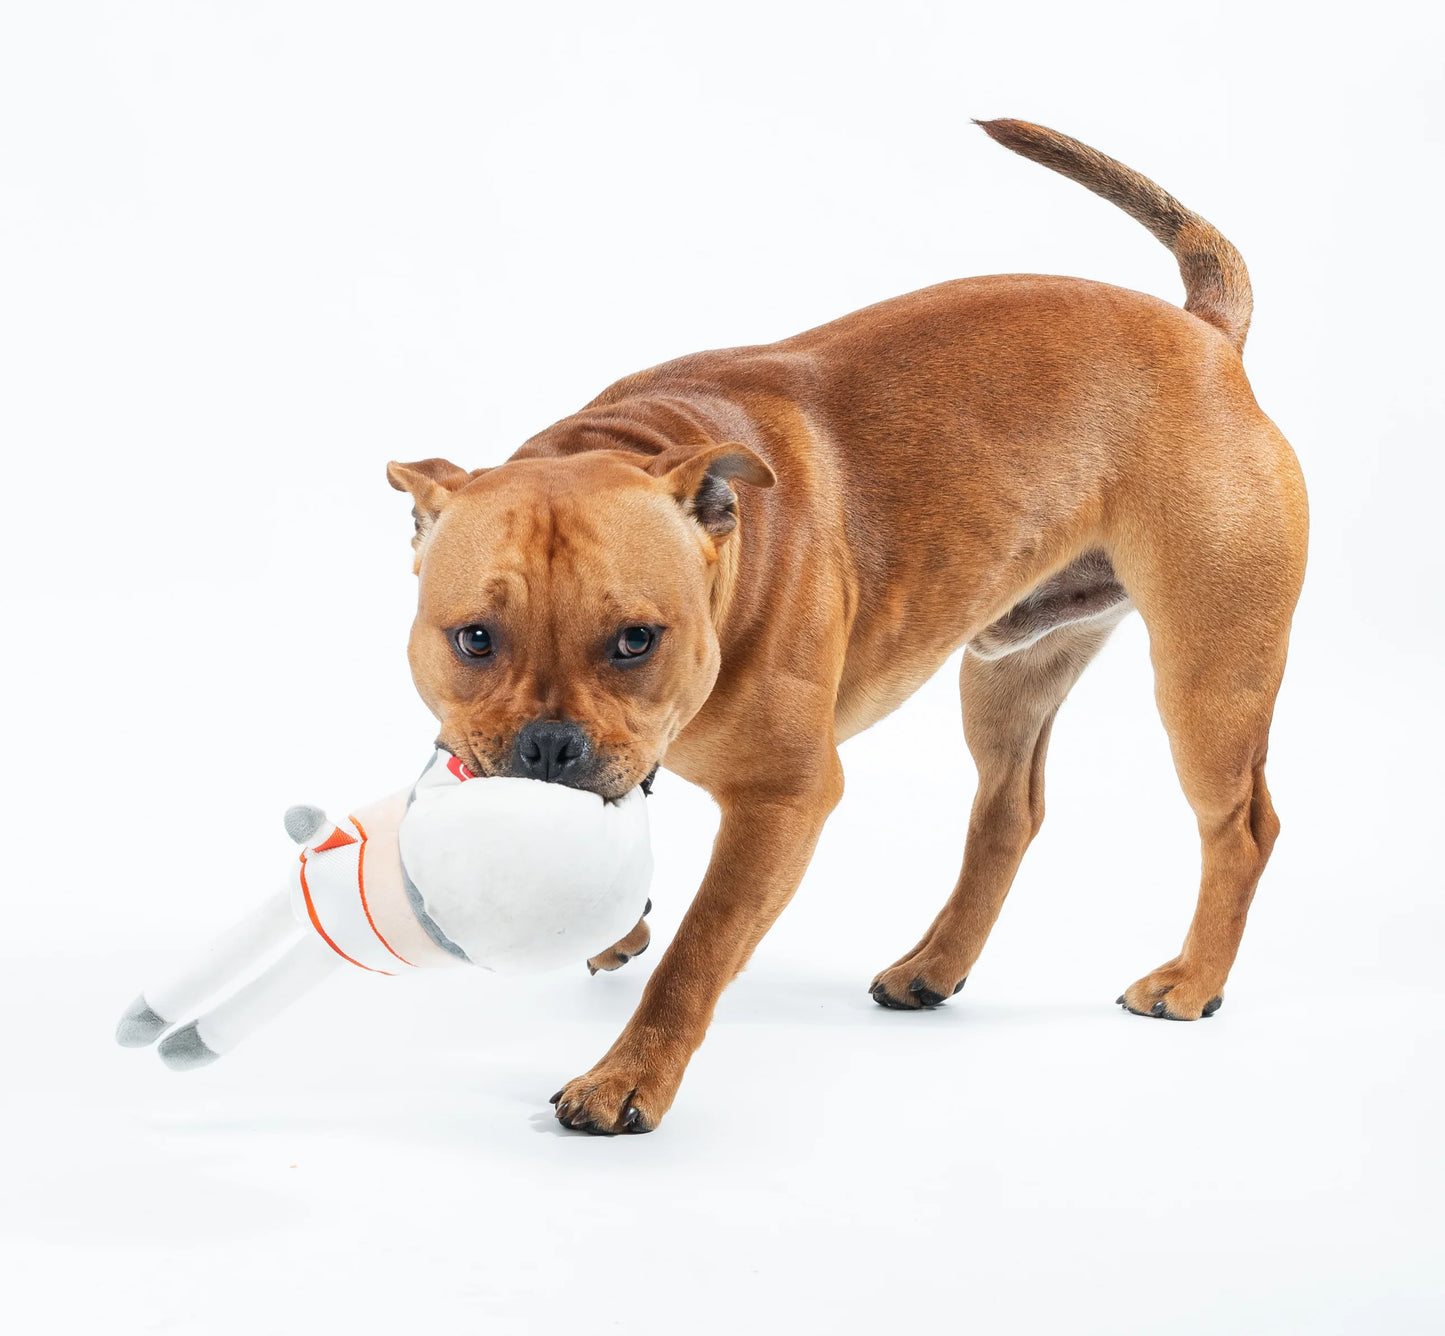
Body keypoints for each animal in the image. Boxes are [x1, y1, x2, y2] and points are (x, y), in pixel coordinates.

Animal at [384, 119, 1312, 1132]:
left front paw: (629, 1076)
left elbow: (697, 954)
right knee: (1007, 810)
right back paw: (933, 967)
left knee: (1241, 826)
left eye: (636, 640)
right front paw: (618, 924)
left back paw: (1193, 979)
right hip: (1009, 670)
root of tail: (1206, 335)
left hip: (1207, 675)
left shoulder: (785, 800)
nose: (548, 745)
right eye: (474, 639)